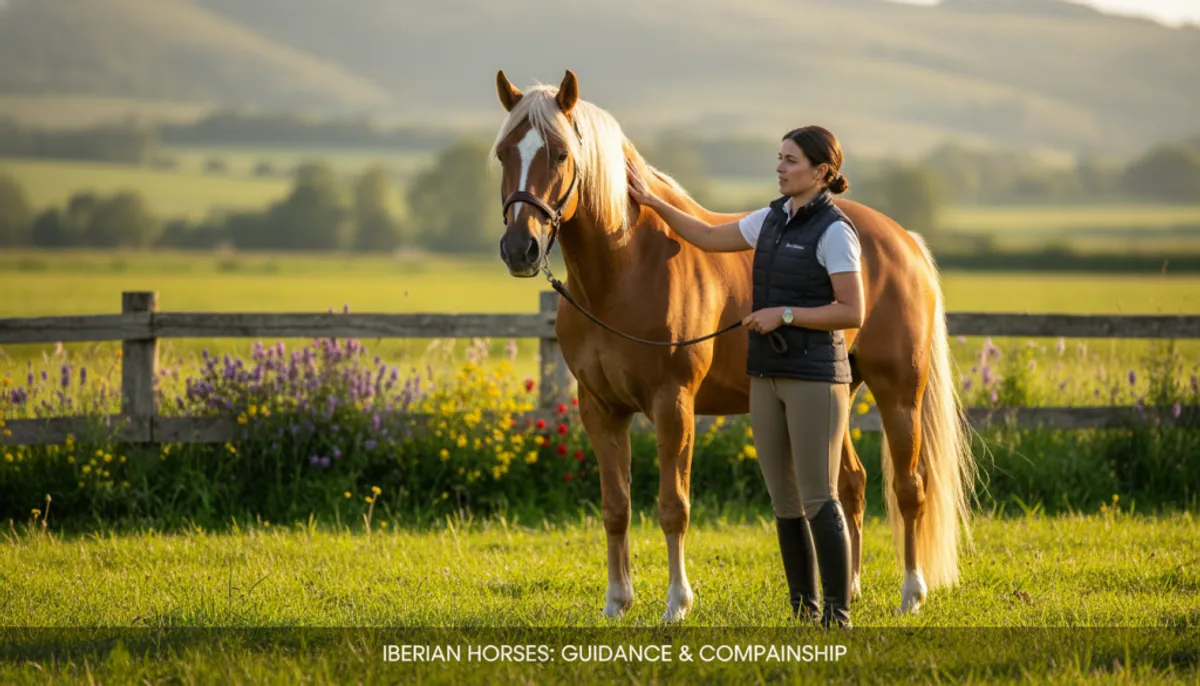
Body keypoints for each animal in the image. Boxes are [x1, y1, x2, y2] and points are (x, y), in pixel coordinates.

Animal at [489, 69, 976, 621]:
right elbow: (616, 507)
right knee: (849, 484)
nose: (520, 249)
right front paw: (616, 602)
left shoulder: (673, 405)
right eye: (504, 153)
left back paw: (911, 594)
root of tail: (904, 240)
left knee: (909, 488)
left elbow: (673, 507)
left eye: (561, 154)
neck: (625, 270)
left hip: (899, 394)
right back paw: (849, 588)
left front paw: (676, 604)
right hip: (838, 390)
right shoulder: (600, 409)